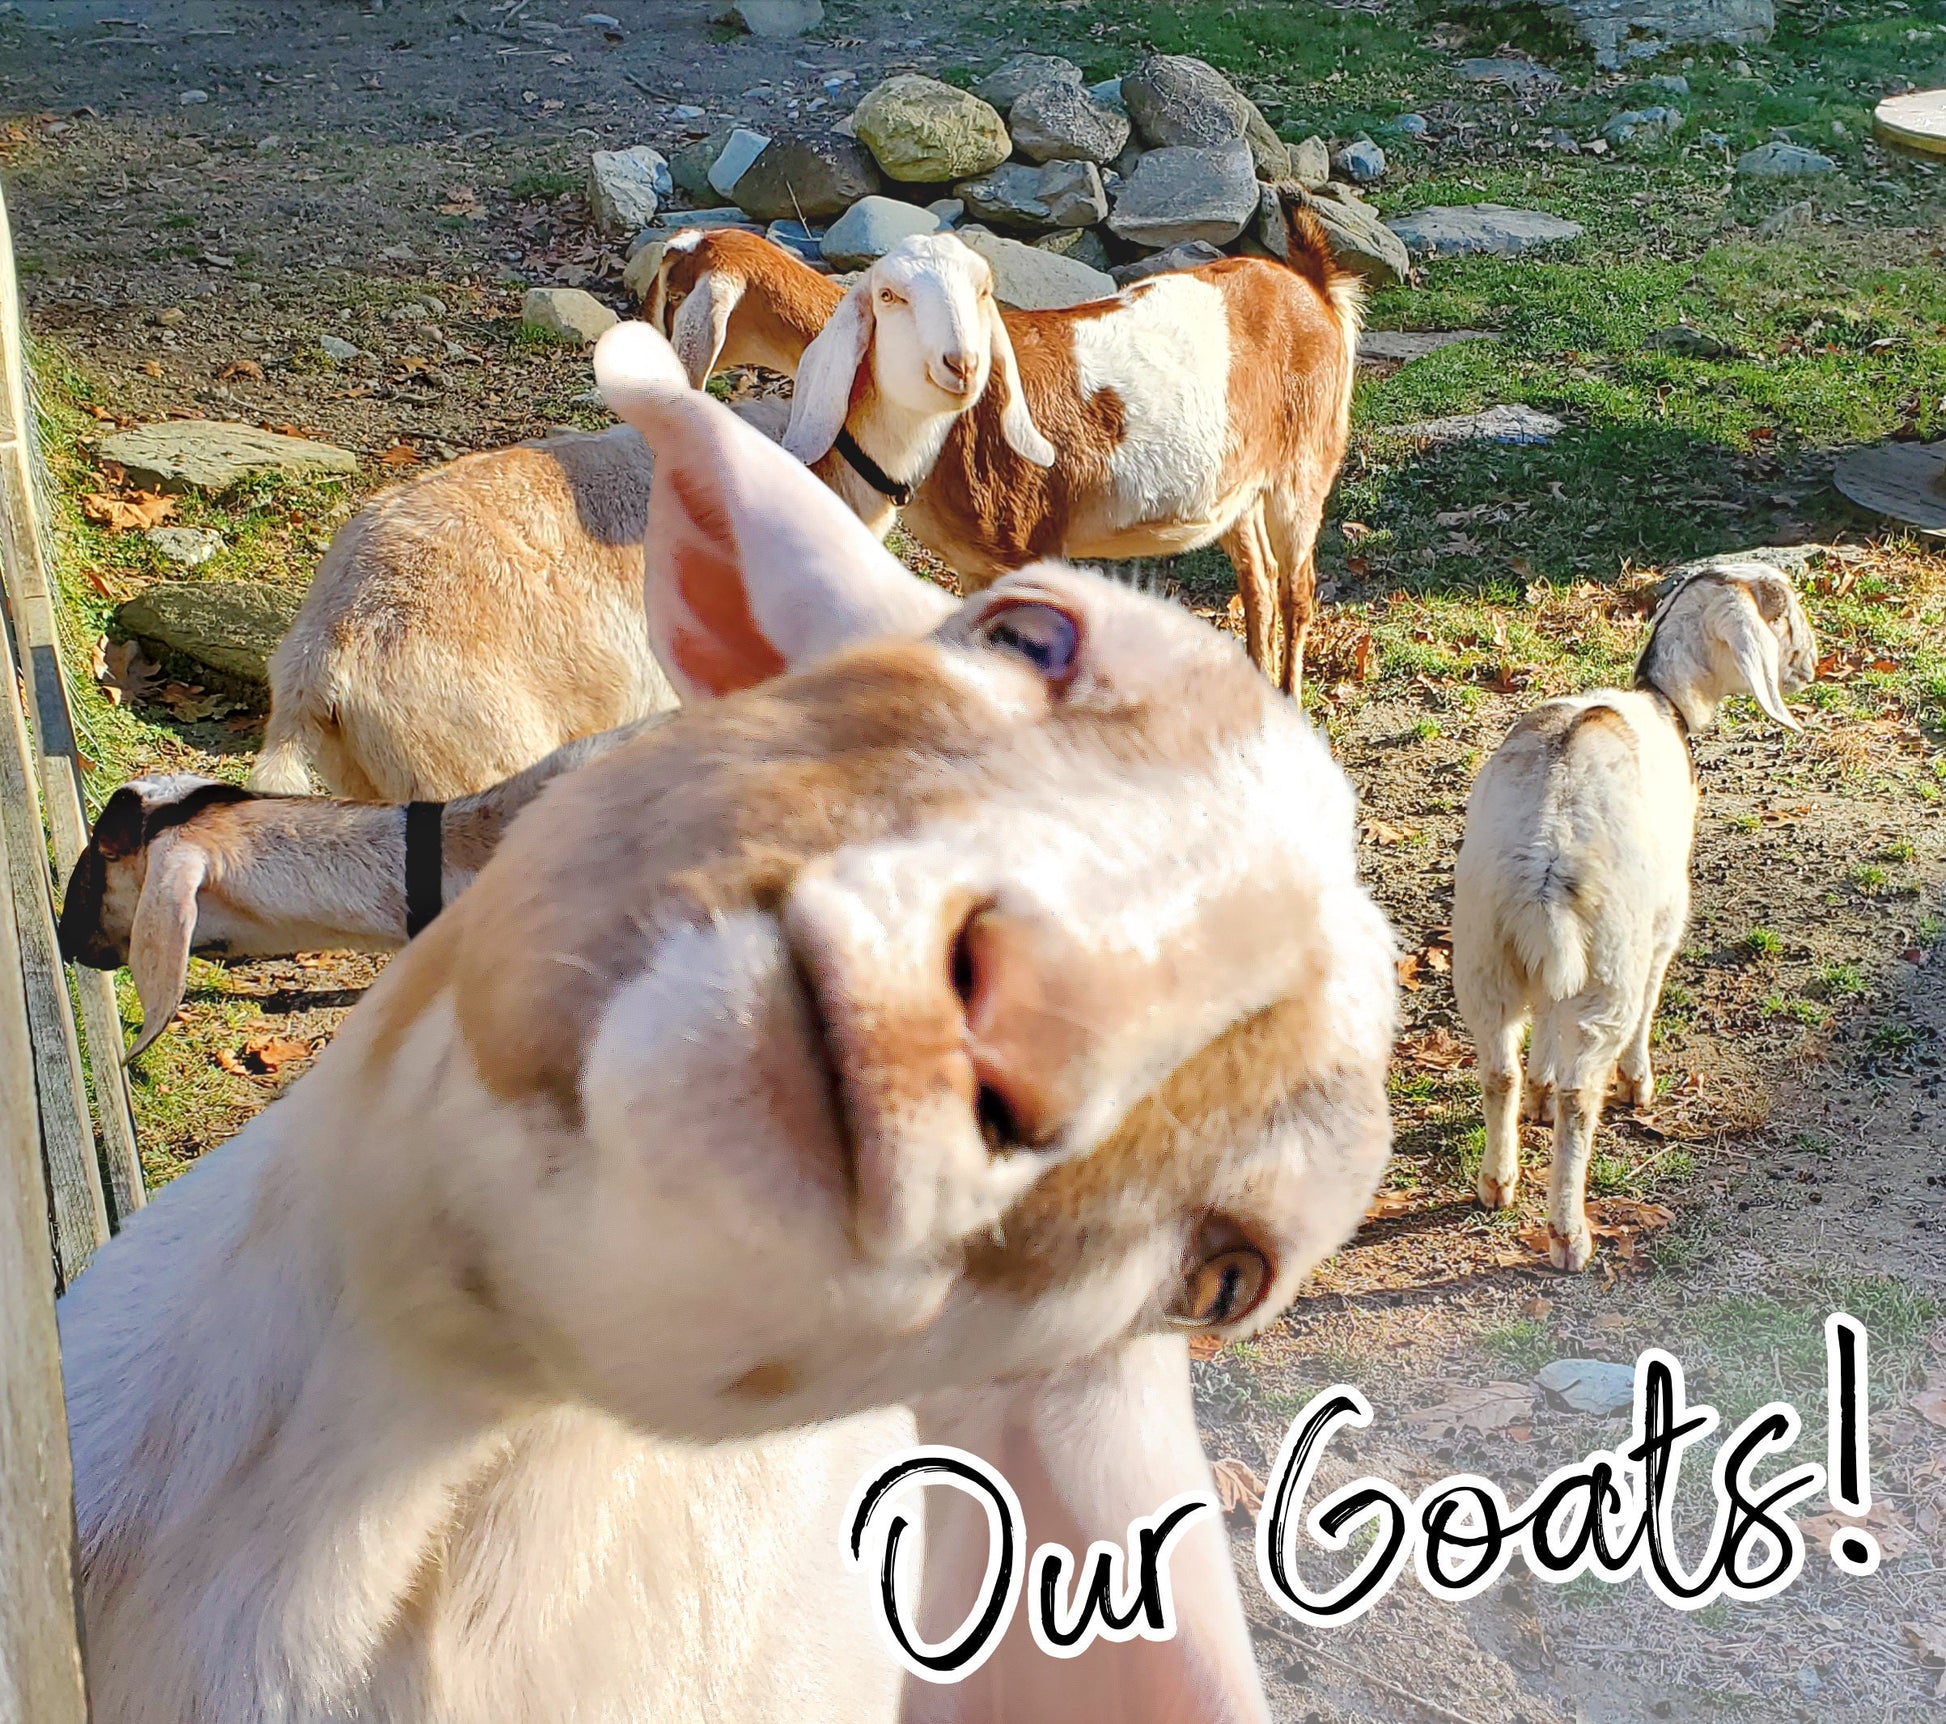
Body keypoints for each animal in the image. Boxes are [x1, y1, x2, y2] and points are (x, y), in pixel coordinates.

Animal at [1455, 564, 1813, 1268]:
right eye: (1782, 613)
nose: (1812, 665)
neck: (1662, 703)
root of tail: (1545, 853)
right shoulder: (1662, 923)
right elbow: (1649, 1005)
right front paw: (1639, 1086)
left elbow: (1544, 1033)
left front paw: (1538, 1092)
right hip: (1609, 965)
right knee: (1582, 1094)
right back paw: (1569, 1233)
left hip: (1485, 953)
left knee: (1498, 1070)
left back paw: (1497, 1182)